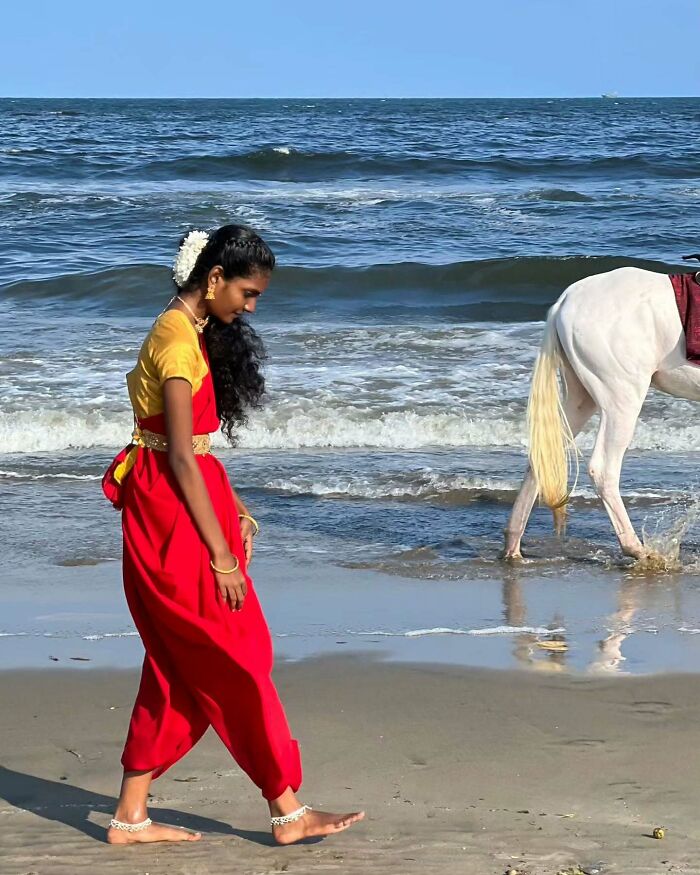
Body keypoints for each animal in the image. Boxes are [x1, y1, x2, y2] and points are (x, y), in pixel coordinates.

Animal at [504, 265, 700, 561]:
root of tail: (566, 301)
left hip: (580, 400)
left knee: (542, 457)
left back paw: (513, 545)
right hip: (622, 398)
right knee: (604, 469)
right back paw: (638, 550)